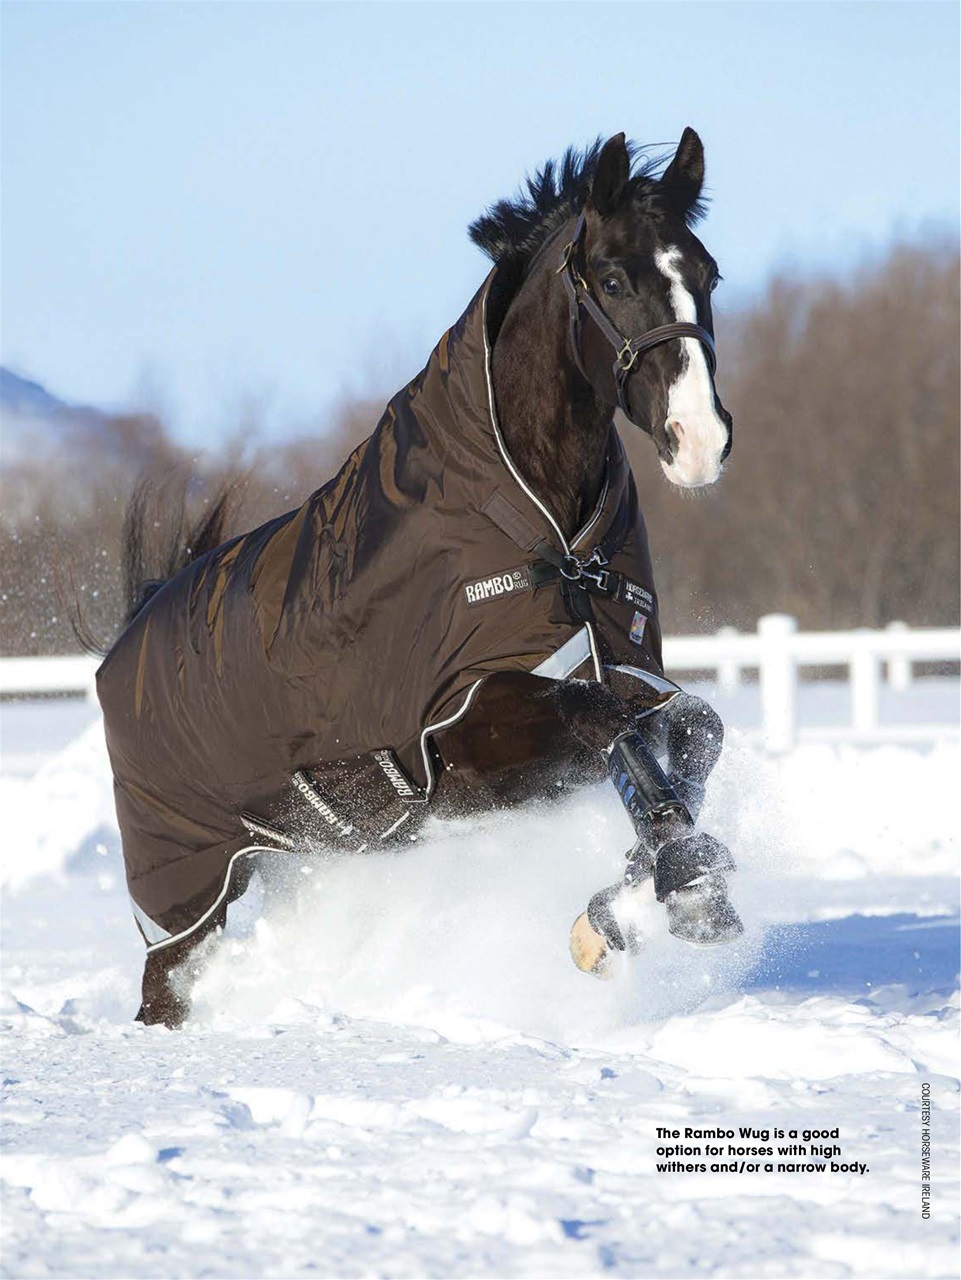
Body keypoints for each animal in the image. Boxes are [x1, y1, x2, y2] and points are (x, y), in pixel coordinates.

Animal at [96, 129, 740, 1028]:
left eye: (707, 273)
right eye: (612, 279)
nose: (699, 443)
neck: (544, 534)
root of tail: (133, 626)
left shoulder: (619, 671)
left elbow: (691, 728)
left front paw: (625, 905)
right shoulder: (470, 729)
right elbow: (606, 724)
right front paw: (682, 888)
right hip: (182, 886)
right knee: (164, 988)